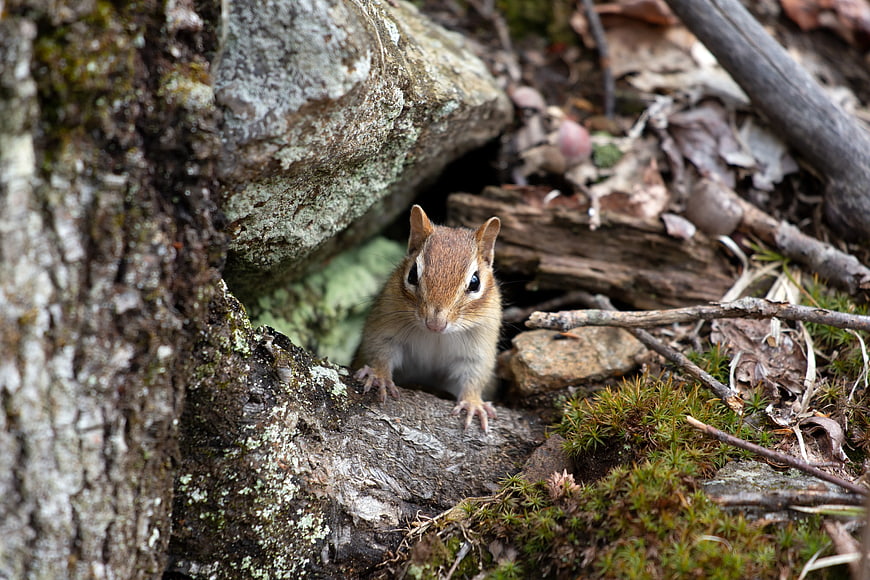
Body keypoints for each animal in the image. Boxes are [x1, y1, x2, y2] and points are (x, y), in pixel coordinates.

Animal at [353, 205, 502, 432]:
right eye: (412, 274)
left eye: (475, 282)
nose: (435, 324)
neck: (436, 337)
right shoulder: (385, 327)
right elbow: (380, 350)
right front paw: (379, 376)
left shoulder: (479, 345)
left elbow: (475, 374)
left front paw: (473, 403)